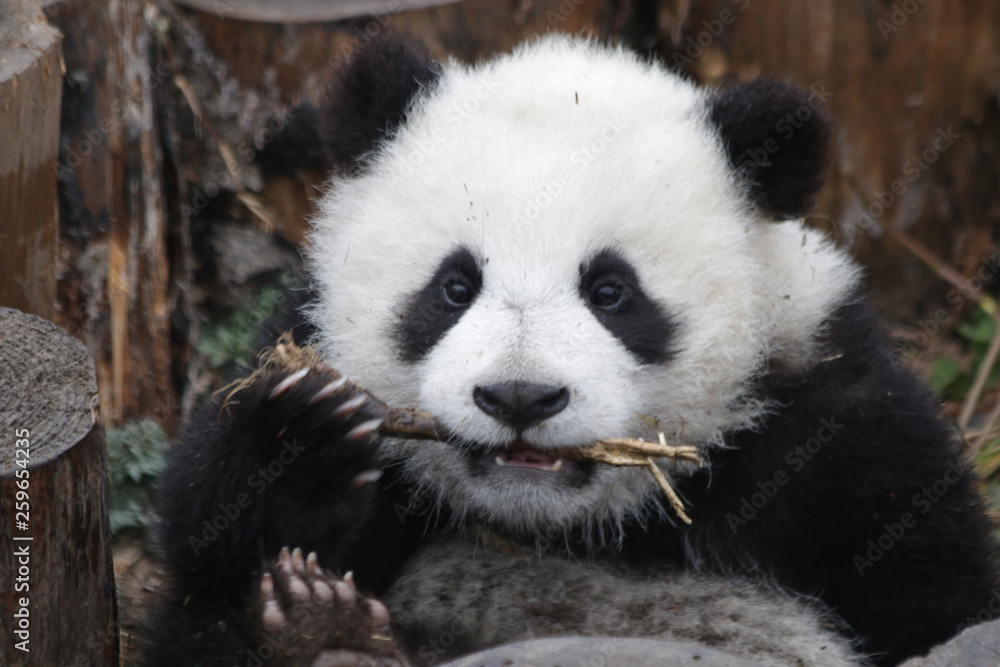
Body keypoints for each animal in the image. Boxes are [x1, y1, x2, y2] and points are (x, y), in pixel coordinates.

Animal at [145, 35, 998, 667]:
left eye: (611, 291)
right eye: (454, 286)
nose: (519, 397)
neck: (559, 527)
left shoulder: (837, 422)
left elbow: (942, 596)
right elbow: (197, 578)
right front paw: (302, 444)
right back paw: (321, 630)